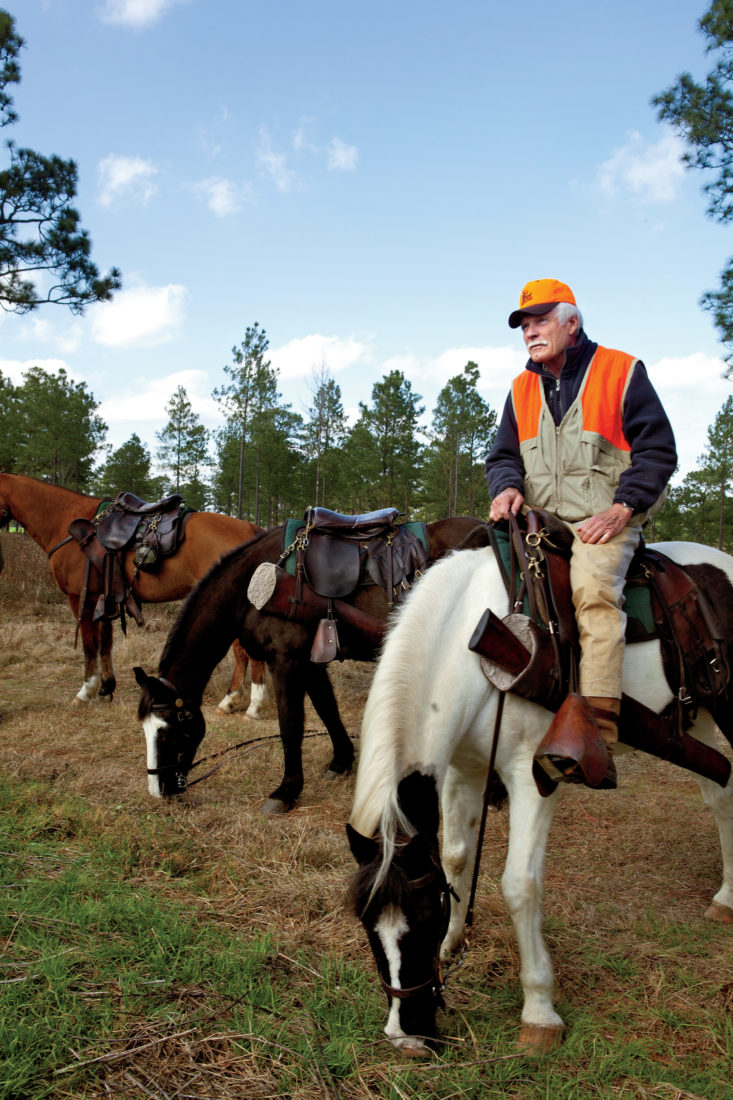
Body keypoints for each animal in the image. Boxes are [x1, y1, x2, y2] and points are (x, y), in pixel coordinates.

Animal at [0, 470, 267, 708]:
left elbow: (89, 645)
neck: (65, 522)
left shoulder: (82, 598)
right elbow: (105, 643)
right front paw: (106, 689)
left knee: (243, 651)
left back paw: (237, 701)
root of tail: (252, 530)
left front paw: (86, 692)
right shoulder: (104, 598)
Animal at [134, 510, 482, 814]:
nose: (159, 791)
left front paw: (285, 791)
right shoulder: (311, 662)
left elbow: (291, 726)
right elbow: (327, 709)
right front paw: (341, 762)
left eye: (165, 731)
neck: (251, 587)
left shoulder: (286, 663)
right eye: (145, 729)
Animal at [347, 541, 730, 1056]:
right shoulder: (462, 770)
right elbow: (455, 857)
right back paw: (726, 897)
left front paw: (539, 1011)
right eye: (368, 926)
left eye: (424, 918)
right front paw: (455, 942)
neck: (472, 646)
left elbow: (520, 886)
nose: (405, 1037)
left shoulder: (532, 779)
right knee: (722, 793)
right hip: (700, 718)